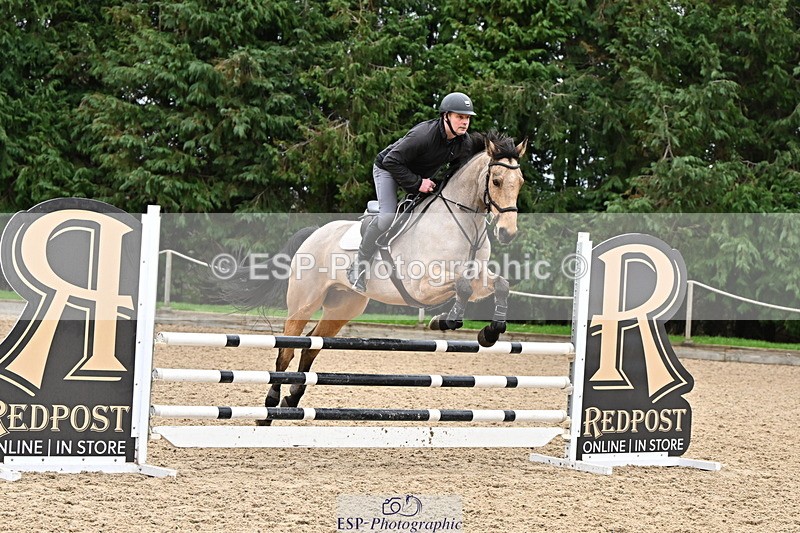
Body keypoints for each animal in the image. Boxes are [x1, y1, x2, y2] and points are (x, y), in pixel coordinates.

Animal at [227, 131, 526, 416]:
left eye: (520, 182)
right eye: (496, 181)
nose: (508, 233)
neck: (461, 223)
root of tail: (315, 233)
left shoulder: (476, 276)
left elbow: (499, 284)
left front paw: (489, 332)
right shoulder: (421, 285)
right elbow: (462, 287)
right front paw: (447, 321)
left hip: (343, 307)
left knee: (312, 345)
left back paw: (291, 399)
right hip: (304, 303)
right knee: (286, 350)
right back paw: (269, 406)